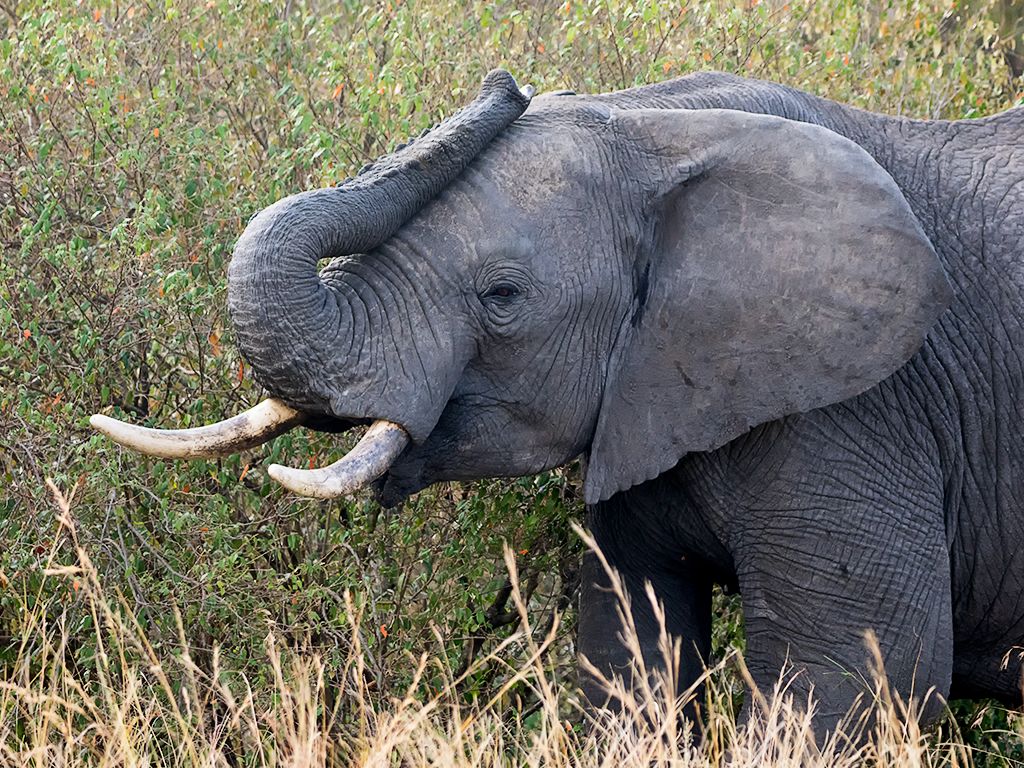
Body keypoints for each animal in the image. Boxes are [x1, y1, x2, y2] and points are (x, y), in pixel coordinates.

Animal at [92, 68, 1024, 734]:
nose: (509, 84)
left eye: (501, 296)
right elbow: (628, 658)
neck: (659, 126)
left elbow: (857, 675)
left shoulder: (857, 403)